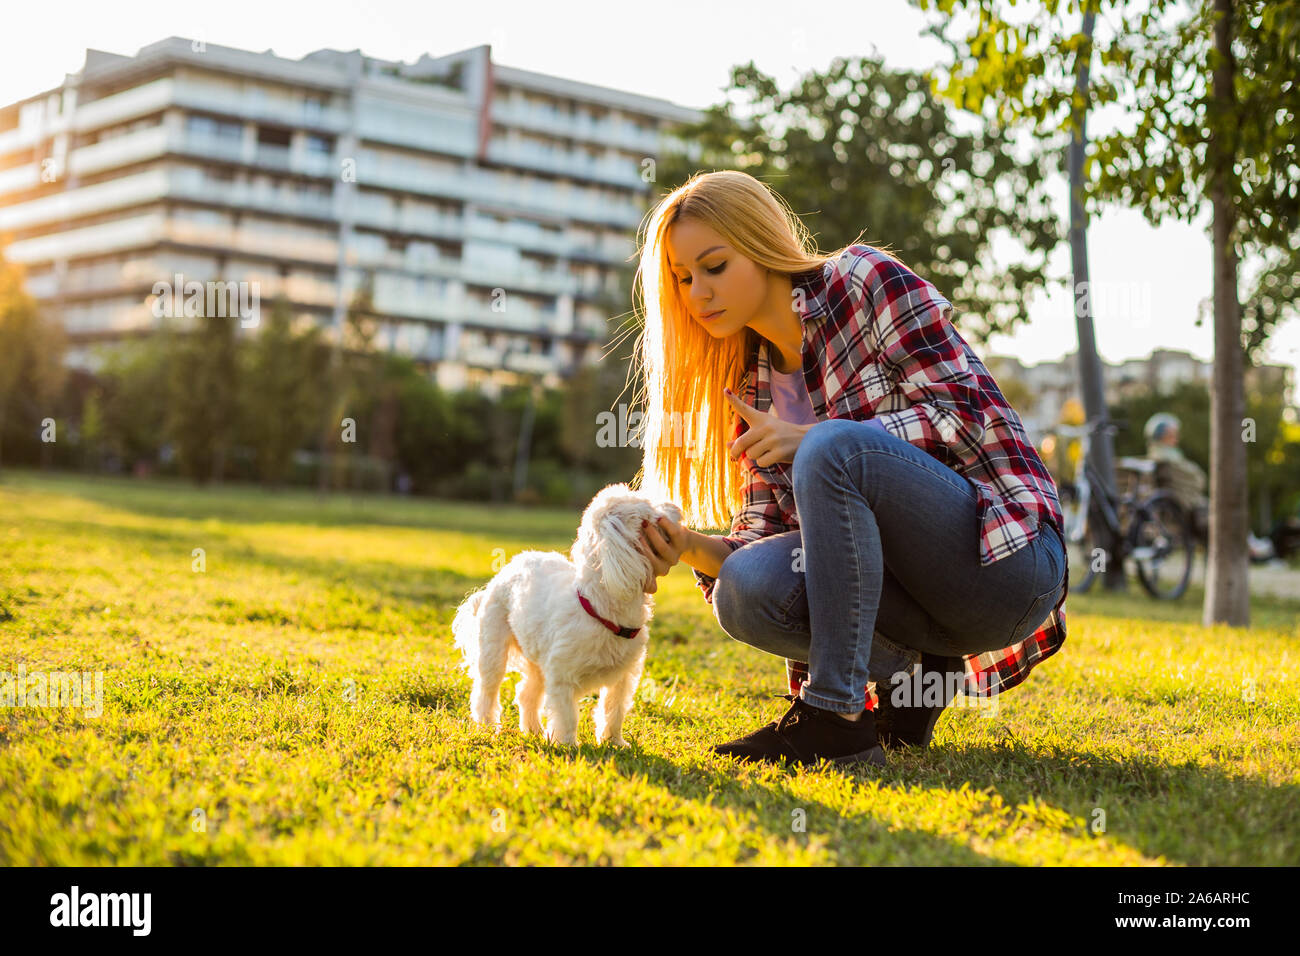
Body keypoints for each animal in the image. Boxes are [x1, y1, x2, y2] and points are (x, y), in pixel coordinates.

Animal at [452, 486, 686, 749]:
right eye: (647, 509)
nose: (675, 505)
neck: (599, 611)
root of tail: (506, 570)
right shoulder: (561, 678)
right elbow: (566, 716)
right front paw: (567, 746)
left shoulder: (623, 677)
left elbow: (613, 710)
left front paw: (614, 742)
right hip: (494, 647)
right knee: (486, 690)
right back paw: (487, 727)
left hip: (537, 659)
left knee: (526, 693)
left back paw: (533, 729)